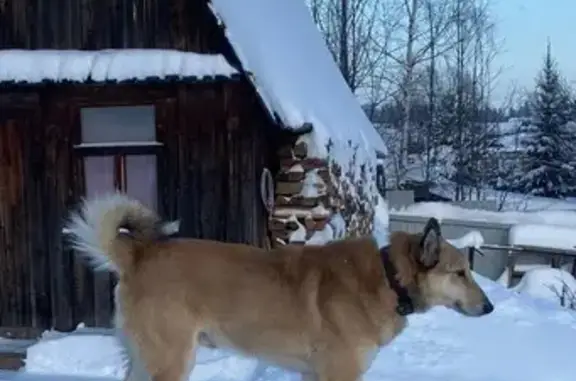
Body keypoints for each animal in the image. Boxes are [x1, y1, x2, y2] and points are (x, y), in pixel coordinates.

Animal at [65, 193, 492, 380]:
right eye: (459, 273)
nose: (489, 308)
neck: (389, 278)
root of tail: (140, 252)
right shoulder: (339, 374)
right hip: (172, 361)